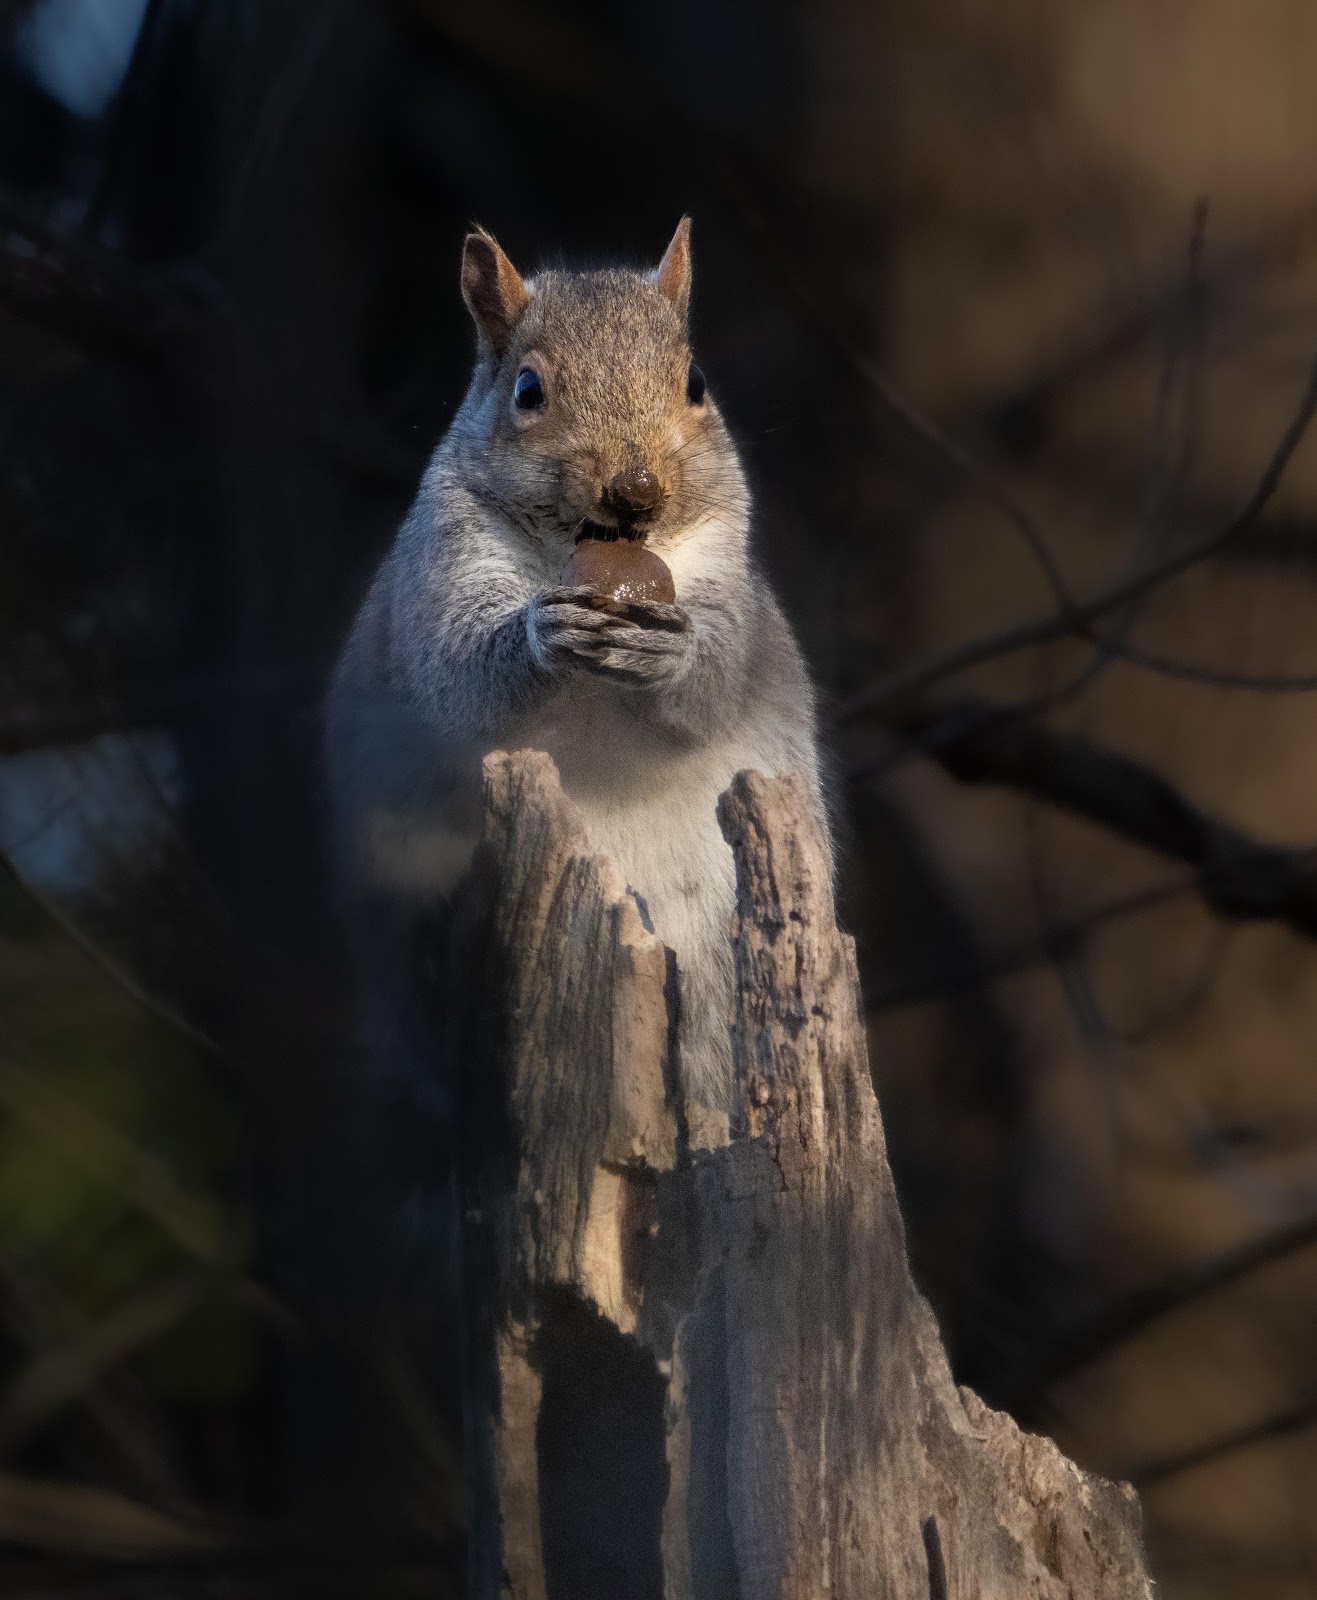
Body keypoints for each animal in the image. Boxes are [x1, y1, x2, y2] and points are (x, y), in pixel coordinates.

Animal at [324, 218, 828, 1111]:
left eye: (695, 381)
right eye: (527, 391)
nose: (636, 487)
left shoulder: (727, 576)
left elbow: (715, 682)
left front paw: (669, 652)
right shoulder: (438, 570)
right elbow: (458, 680)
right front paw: (540, 633)